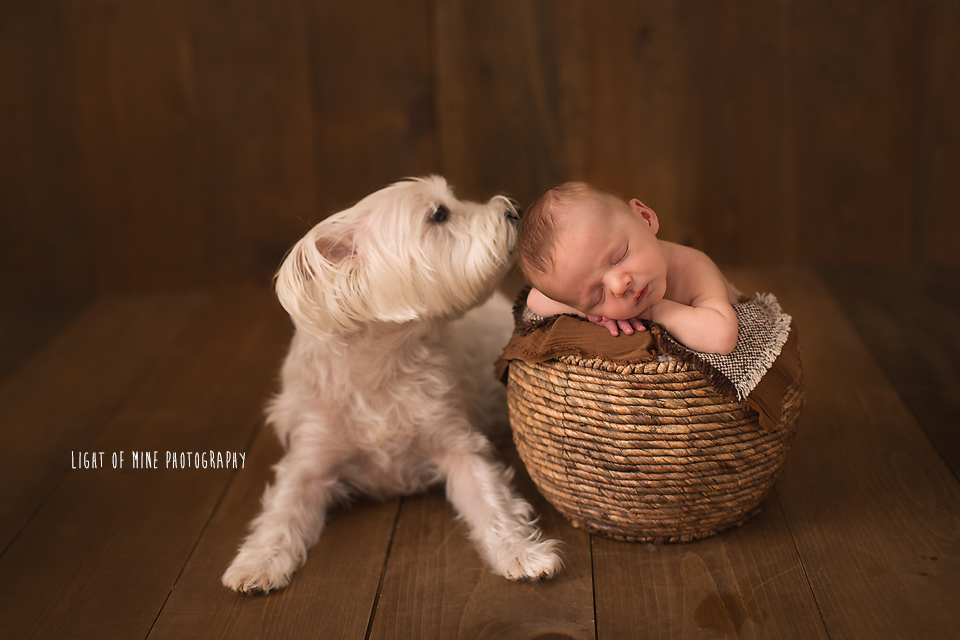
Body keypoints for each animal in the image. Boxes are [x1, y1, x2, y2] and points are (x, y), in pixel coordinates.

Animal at [220, 176, 560, 596]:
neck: (383, 366)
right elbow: (281, 512)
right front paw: (256, 564)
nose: (513, 209)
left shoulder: (456, 443)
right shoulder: (309, 457)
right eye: (439, 214)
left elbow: (490, 499)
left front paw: (521, 553)